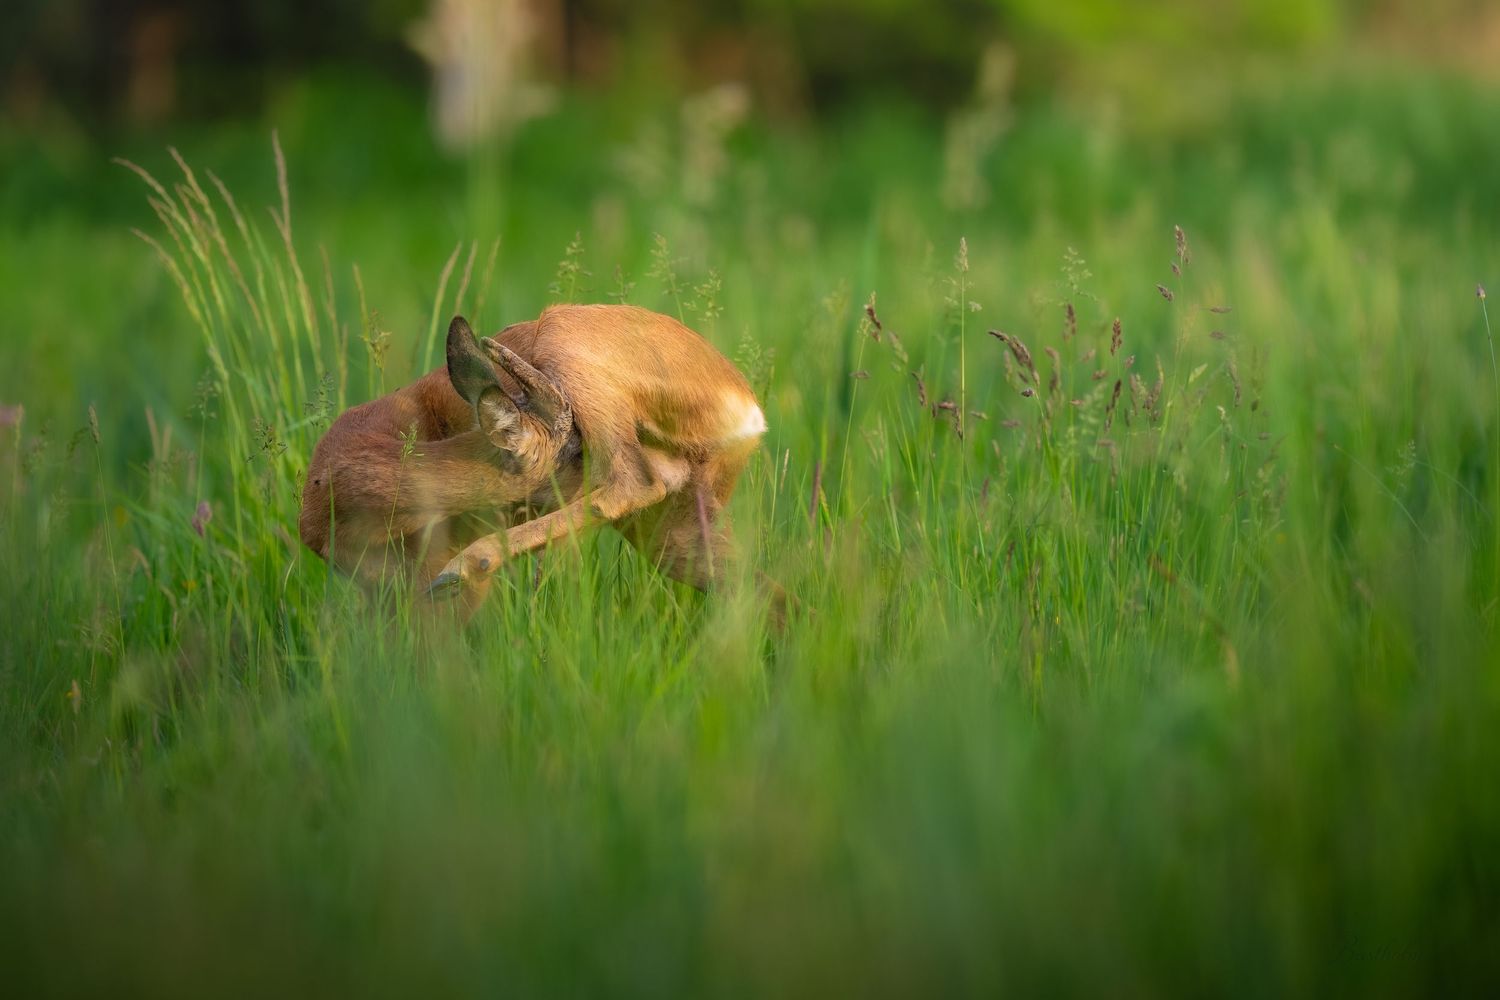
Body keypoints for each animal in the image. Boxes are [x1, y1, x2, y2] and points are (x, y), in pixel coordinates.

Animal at [298, 304, 773, 620]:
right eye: (575, 452)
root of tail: (748, 407)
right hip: (677, 527)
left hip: (565, 338)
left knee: (635, 480)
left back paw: (466, 566)